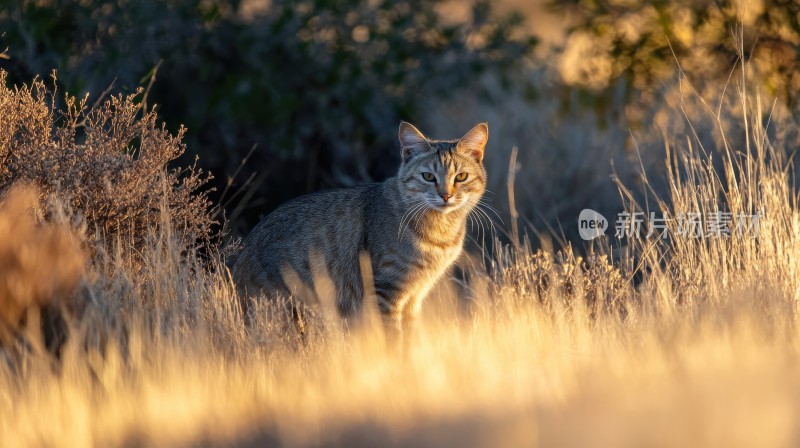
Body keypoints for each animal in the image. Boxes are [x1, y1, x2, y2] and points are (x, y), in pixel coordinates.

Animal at [231, 121, 488, 334]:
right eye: (428, 176)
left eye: (461, 177)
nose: (446, 195)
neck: (441, 230)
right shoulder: (386, 292)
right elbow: (393, 340)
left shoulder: (414, 296)